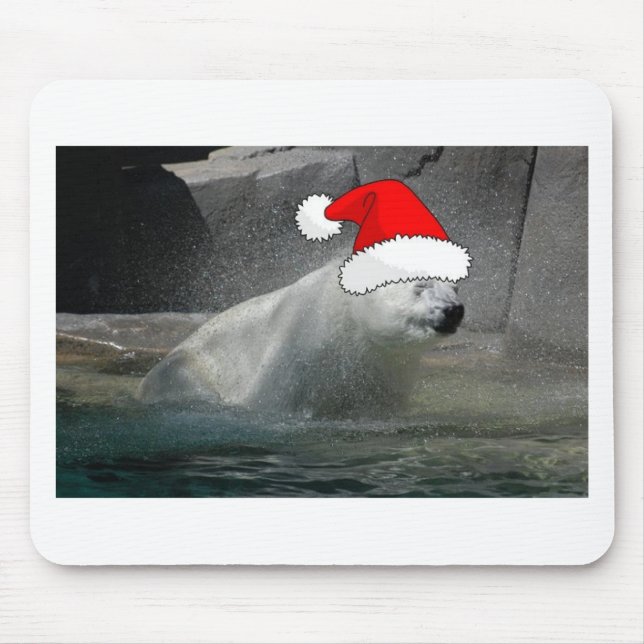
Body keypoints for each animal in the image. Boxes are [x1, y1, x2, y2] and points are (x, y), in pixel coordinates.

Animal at [137, 260, 464, 418]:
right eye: (421, 284)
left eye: (456, 286)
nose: (454, 310)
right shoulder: (298, 347)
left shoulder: (388, 366)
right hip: (183, 368)